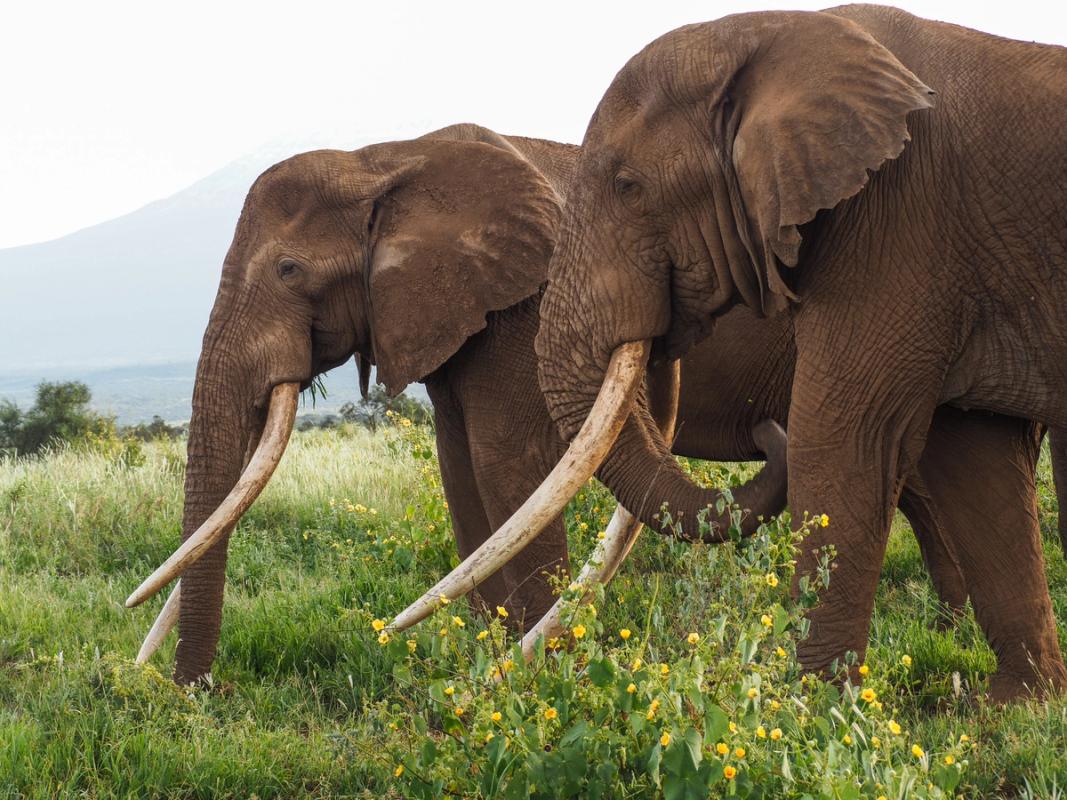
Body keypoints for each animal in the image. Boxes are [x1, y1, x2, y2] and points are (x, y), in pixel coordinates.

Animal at [485, 5, 1067, 701]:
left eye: (629, 187)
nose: (765, 429)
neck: (769, 33)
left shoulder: (896, 221)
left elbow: (840, 438)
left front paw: (812, 706)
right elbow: (976, 464)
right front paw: (1014, 705)